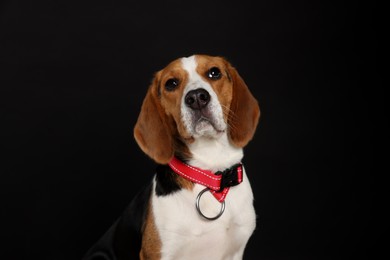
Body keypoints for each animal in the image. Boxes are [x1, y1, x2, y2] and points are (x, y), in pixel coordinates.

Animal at [82, 53, 258, 258]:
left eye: (214, 73)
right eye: (171, 84)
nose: (197, 98)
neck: (211, 177)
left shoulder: (236, 251)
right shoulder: (158, 253)